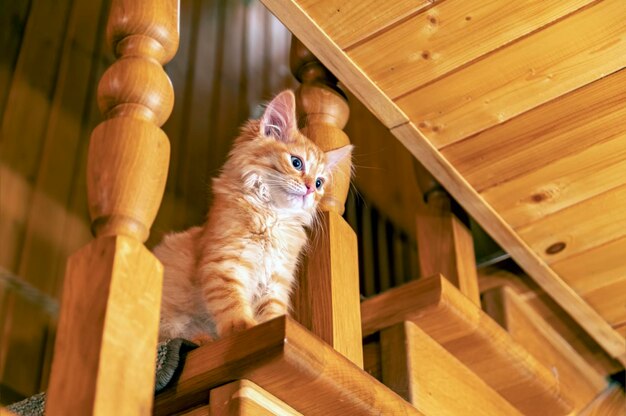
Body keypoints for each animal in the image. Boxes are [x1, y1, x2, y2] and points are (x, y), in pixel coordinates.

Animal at [155, 89, 352, 342]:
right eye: (296, 163)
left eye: (319, 183)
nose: (310, 189)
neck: (272, 216)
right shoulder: (224, 263)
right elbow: (232, 304)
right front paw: (244, 326)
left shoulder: (276, 280)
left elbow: (273, 313)